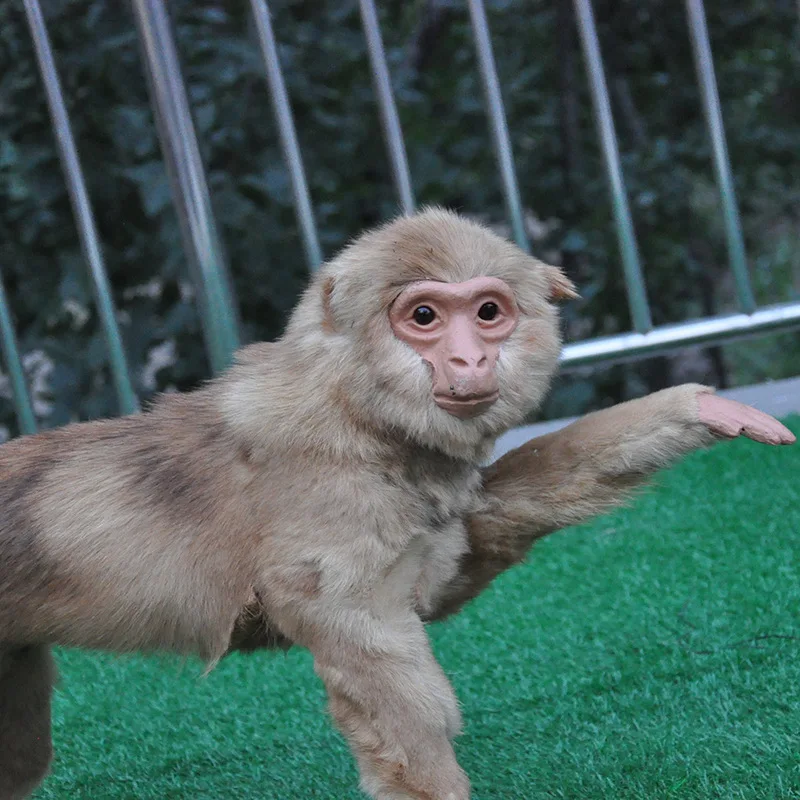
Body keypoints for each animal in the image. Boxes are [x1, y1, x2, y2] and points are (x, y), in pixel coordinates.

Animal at [0, 208, 793, 800]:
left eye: (488, 311)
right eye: (424, 315)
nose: (470, 358)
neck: (360, 415)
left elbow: (466, 550)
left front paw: (693, 407)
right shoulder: (334, 502)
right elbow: (370, 652)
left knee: (21, 753)